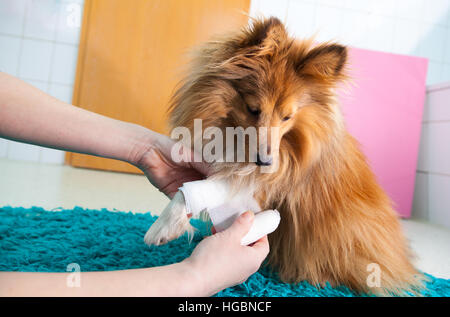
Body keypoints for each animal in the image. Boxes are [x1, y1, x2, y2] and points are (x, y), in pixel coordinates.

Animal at [145, 16, 426, 294]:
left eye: (288, 116)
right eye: (253, 109)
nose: (265, 162)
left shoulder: (264, 185)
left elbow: (197, 190)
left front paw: (162, 227)